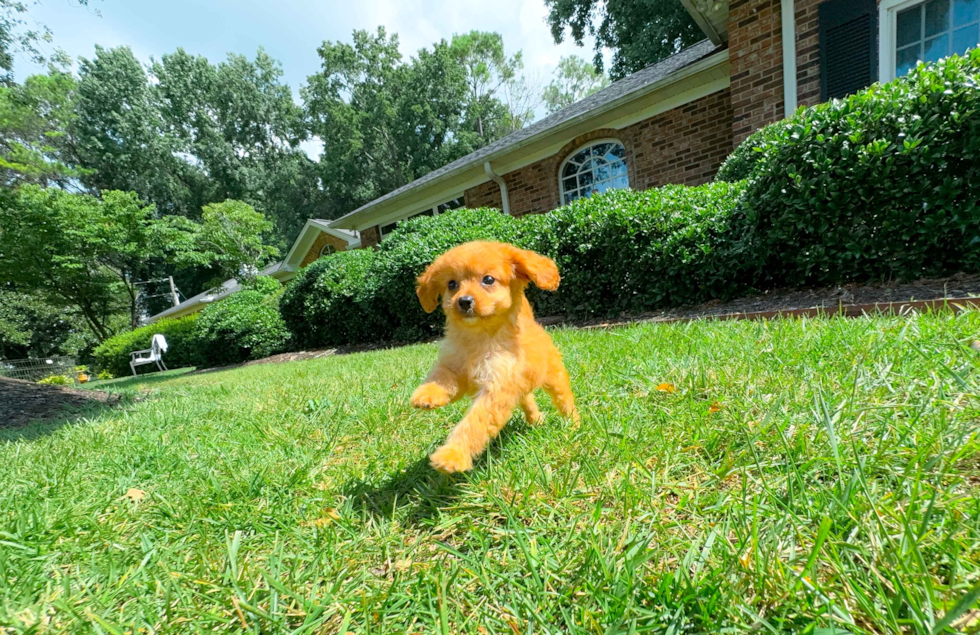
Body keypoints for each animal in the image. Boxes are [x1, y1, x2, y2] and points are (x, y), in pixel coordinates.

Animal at [410, 241, 580, 474]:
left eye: (488, 279)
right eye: (452, 284)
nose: (464, 301)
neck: (479, 338)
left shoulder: (496, 388)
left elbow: (475, 424)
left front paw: (453, 455)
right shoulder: (455, 365)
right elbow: (442, 376)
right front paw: (427, 394)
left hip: (555, 376)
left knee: (565, 400)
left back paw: (574, 424)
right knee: (527, 399)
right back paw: (535, 419)